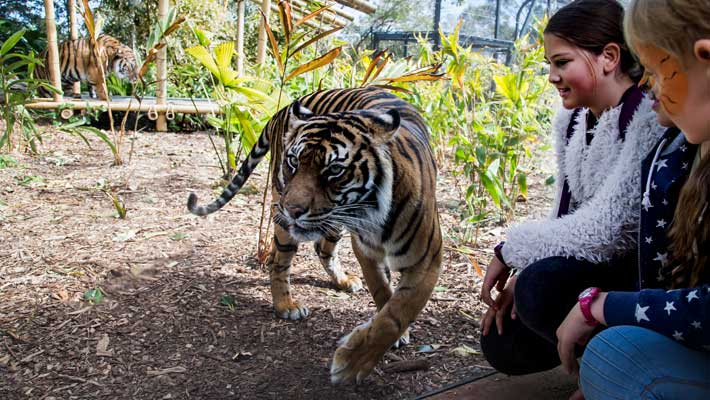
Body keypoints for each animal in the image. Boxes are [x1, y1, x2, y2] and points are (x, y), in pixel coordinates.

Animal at [186, 87, 442, 384]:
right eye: (294, 161)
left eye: (335, 170)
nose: (292, 209)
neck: (374, 215)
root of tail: (284, 108)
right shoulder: (366, 251)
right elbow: (382, 293)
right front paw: (353, 363)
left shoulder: (426, 260)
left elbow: (397, 312)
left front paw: (355, 360)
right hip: (285, 214)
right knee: (279, 262)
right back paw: (286, 305)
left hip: (330, 224)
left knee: (322, 249)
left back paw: (343, 281)